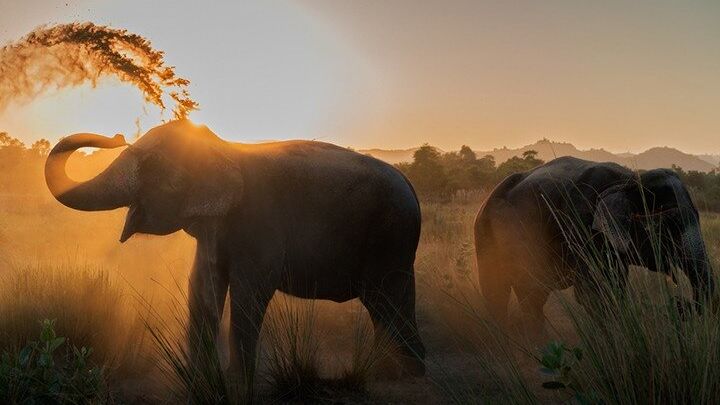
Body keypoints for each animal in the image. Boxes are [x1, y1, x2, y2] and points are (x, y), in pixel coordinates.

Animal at [44, 119, 426, 388]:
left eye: (151, 164)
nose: (117, 135)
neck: (222, 147)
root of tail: (411, 187)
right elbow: (202, 285)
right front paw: (197, 377)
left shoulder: (260, 222)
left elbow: (250, 290)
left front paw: (235, 382)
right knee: (386, 303)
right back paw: (392, 371)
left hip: (391, 237)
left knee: (386, 299)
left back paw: (401, 374)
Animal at [474, 156, 715, 331]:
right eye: (668, 227)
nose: (679, 302)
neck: (628, 181)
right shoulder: (581, 227)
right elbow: (592, 293)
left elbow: (613, 285)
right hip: (493, 235)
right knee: (508, 290)